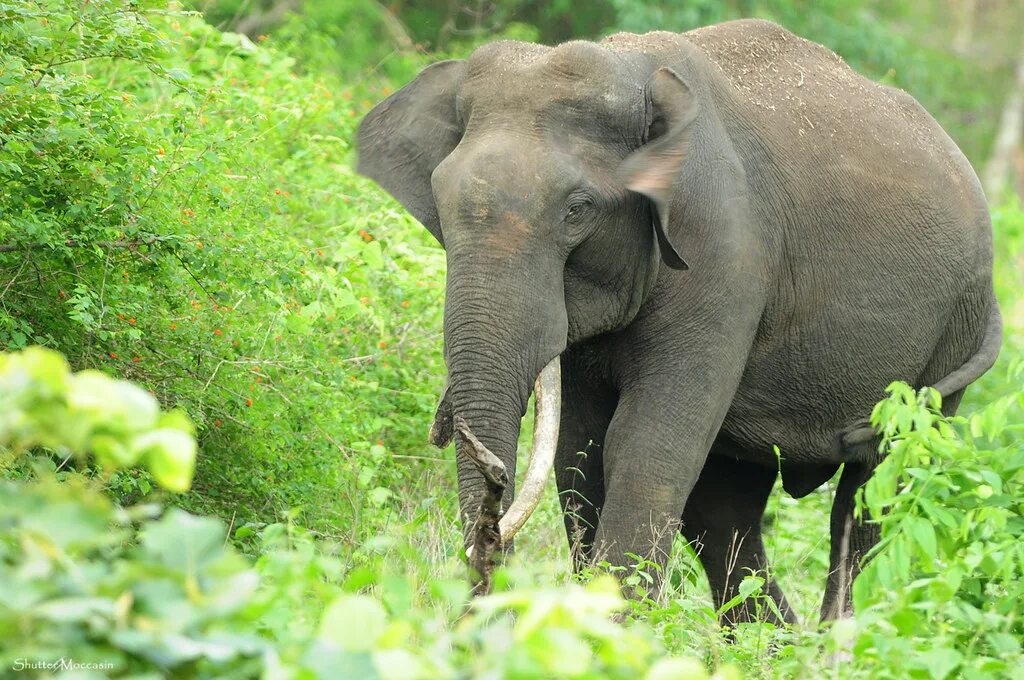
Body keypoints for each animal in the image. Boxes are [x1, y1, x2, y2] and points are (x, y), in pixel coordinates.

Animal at [358, 18, 999, 622]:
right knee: (724, 506)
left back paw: (832, 641)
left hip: (953, 332)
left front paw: (607, 637)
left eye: (577, 209)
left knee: (876, 485)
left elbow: (644, 444)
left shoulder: (724, 254)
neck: (631, 70)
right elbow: (580, 451)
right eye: (439, 201)